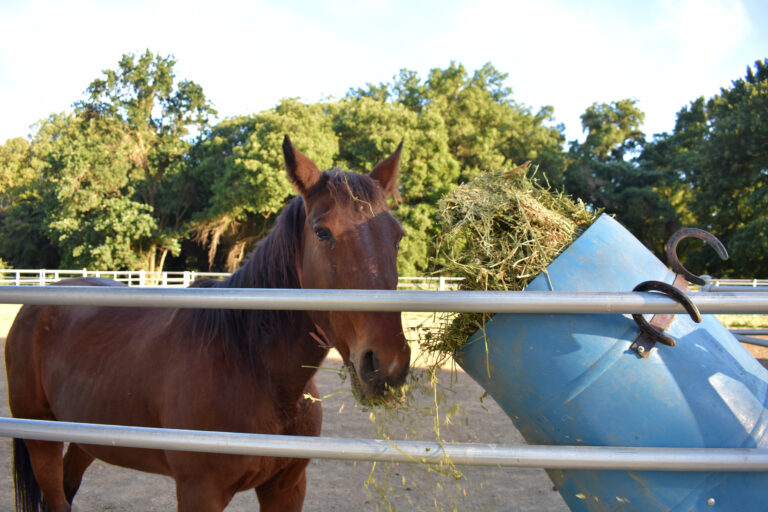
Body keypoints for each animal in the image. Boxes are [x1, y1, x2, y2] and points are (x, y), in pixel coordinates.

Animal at [4, 136, 408, 512]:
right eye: (322, 232)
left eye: (397, 236)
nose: (386, 365)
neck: (251, 365)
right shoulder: (200, 492)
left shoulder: (287, 486)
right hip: (41, 439)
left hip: (89, 436)